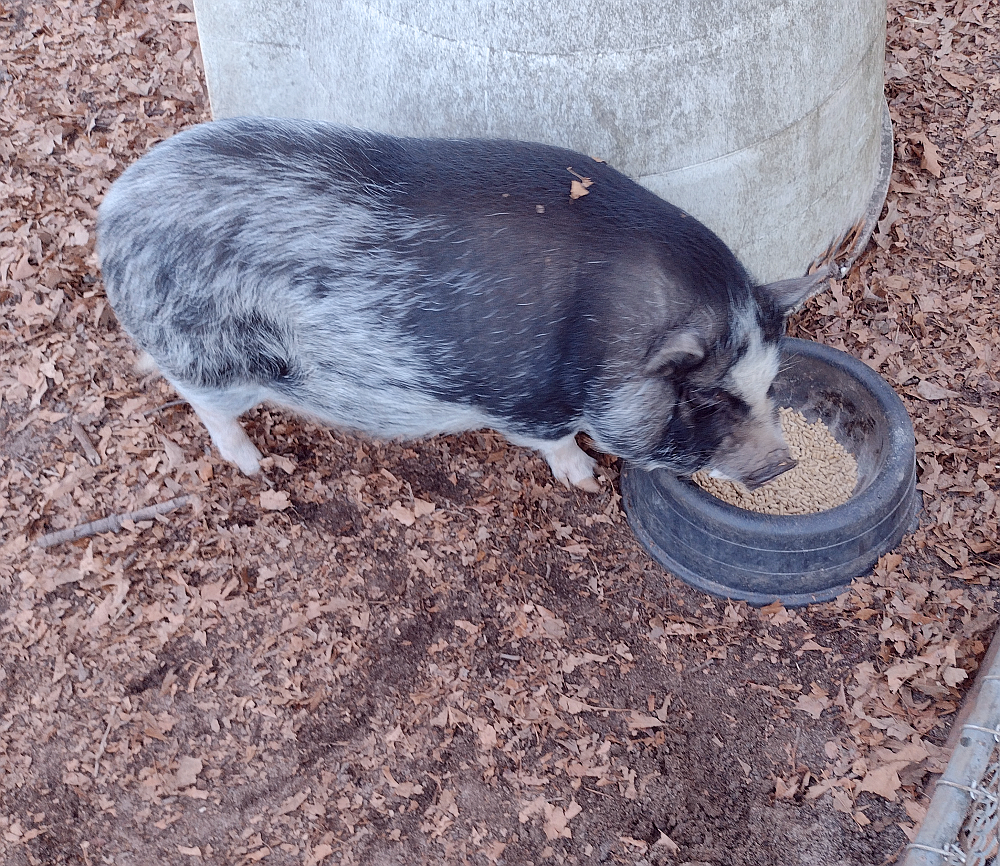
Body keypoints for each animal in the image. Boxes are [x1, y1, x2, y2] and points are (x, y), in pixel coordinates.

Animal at [97, 117, 828, 490]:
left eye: (769, 385)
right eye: (706, 400)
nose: (784, 463)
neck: (607, 336)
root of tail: (115, 210)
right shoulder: (525, 400)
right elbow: (555, 440)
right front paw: (586, 479)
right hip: (213, 357)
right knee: (203, 402)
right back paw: (253, 465)